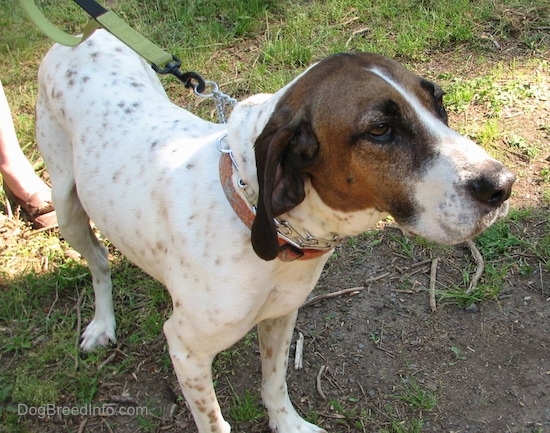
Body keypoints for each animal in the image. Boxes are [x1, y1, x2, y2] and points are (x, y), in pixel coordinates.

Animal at [36, 31, 516, 432]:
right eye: (380, 129)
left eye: (438, 101)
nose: (503, 185)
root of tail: (82, 35)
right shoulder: (186, 349)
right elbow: (215, 422)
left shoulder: (283, 315)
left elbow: (274, 383)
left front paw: (288, 424)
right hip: (67, 206)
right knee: (99, 263)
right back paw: (101, 323)